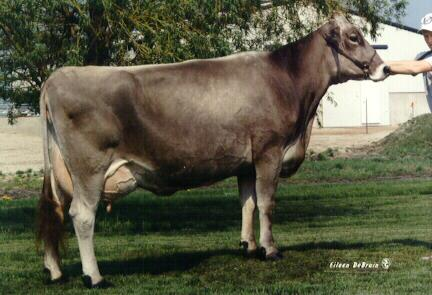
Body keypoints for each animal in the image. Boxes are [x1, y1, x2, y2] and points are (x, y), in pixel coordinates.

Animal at [37, 15, 388, 288]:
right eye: (354, 37)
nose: (383, 67)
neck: (286, 80)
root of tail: (56, 77)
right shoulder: (269, 152)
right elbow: (267, 203)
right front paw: (270, 249)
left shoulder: (246, 163)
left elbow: (247, 203)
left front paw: (248, 246)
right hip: (89, 168)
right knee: (82, 215)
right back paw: (94, 277)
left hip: (63, 171)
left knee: (55, 211)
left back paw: (54, 271)